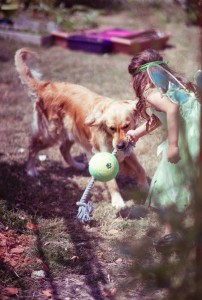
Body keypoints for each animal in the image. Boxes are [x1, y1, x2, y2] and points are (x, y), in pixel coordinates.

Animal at [14, 48, 148, 209]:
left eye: (126, 126)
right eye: (111, 128)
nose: (120, 145)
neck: (109, 137)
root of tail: (46, 86)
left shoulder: (128, 152)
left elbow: (141, 168)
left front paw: (145, 186)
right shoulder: (103, 153)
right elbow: (112, 183)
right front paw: (118, 201)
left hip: (73, 132)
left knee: (63, 149)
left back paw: (77, 165)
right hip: (51, 134)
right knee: (33, 146)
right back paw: (31, 170)